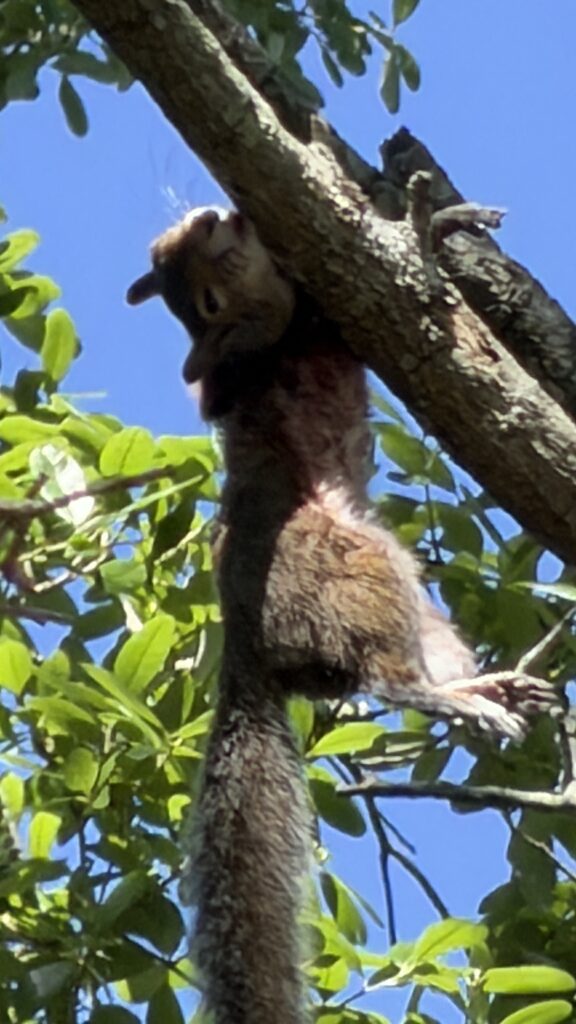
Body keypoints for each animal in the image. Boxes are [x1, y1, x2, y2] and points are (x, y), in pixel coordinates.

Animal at [127, 207, 558, 1024]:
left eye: (171, 246)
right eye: (205, 302)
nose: (210, 217)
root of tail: (246, 646)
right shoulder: (296, 335)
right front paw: (436, 227)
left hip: (421, 613)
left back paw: (484, 689)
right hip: (357, 571)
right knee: (389, 681)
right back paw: (463, 701)